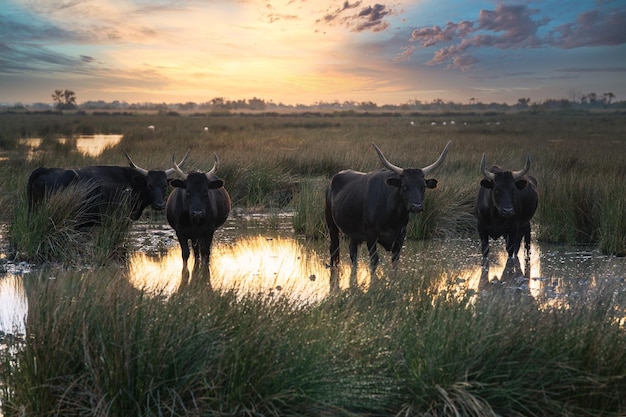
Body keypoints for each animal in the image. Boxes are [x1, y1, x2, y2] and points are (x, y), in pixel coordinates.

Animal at [326, 141, 448, 278]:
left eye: (423, 186)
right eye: (404, 186)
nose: (416, 206)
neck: (393, 217)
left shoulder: (400, 235)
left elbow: (395, 260)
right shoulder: (371, 235)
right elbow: (374, 260)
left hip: (354, 233)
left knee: (353, 252)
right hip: (331, 225)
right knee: (334, 249)